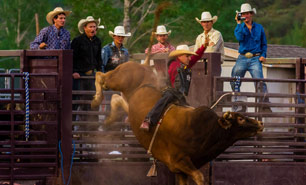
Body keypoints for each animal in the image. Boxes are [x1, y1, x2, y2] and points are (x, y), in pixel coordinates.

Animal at [91, 61, 262, 185]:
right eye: (240, 119)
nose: (259, 124)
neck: (204, 130)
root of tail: (142, 65)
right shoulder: (180, 161)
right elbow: (199, 177)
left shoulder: (181, 171)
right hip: (120, 78)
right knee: (101, 76)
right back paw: (96, 99)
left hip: (129, 99)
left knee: (117, 99)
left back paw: (110, 117)